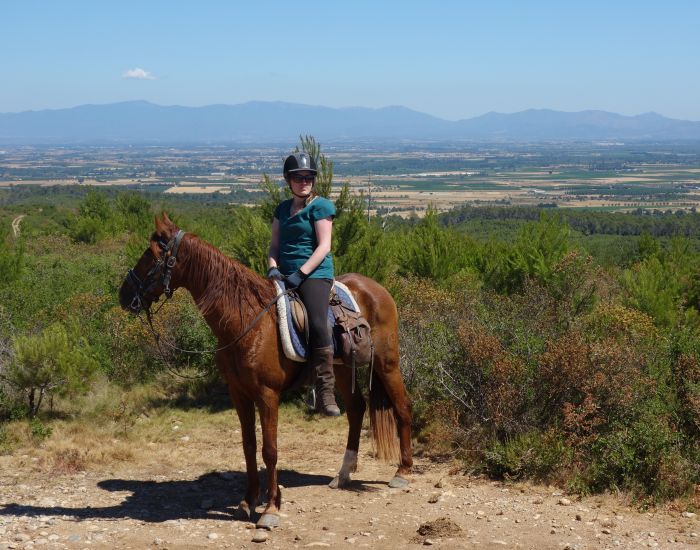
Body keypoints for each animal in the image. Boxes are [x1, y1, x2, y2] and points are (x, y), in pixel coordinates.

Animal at [118, 216, 412, 532]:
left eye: (151, 255)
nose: (123, 294)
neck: (245, 320)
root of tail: (377, 289)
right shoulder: (239, 394)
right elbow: (249, 447)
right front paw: (248, 502)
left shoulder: (267, 394)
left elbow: (269, 450)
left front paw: (271, 508)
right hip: (343, 369)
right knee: (356, 410)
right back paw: (343, 474)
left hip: (386, 363)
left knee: (402, 407)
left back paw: (402, 471)